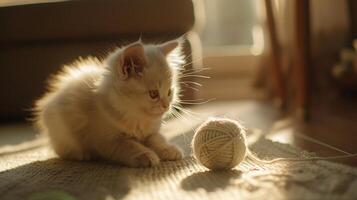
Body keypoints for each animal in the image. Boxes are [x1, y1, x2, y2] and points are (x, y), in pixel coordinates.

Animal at [33, 39, 184, 167]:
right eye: (153, 94)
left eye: (169, 92)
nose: (166, 105)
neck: (135, 117)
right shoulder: (108, 141)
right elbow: (130, 146)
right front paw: (146, 155)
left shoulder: (151, 133)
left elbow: (158, 139)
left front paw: (169, 149)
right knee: (64, 151)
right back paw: (84, 154)